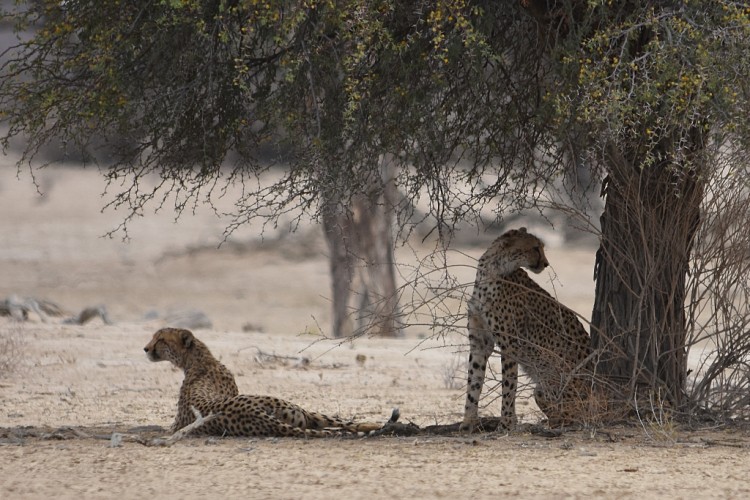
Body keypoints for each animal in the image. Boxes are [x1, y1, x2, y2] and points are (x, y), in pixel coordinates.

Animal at [143, 326, 396, 436]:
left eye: (160, 339)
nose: (145, 348)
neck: (200, 360)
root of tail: (254, 413)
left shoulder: (177, 424)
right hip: (299, 415)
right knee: (337, 424)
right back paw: (376, 426)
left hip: (297, 410)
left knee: (341, 422)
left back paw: (377, 425)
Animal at [462, 229, 596, 432]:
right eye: (535, 248)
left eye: (541, 247)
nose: (546, 264)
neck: (490, 271)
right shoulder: (479, 343)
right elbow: (473, 383)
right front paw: (468, 422)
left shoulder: (510, 346)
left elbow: (509, 386)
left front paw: (507, 423)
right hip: (542, 388)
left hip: (550, 383)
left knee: (572, 416)